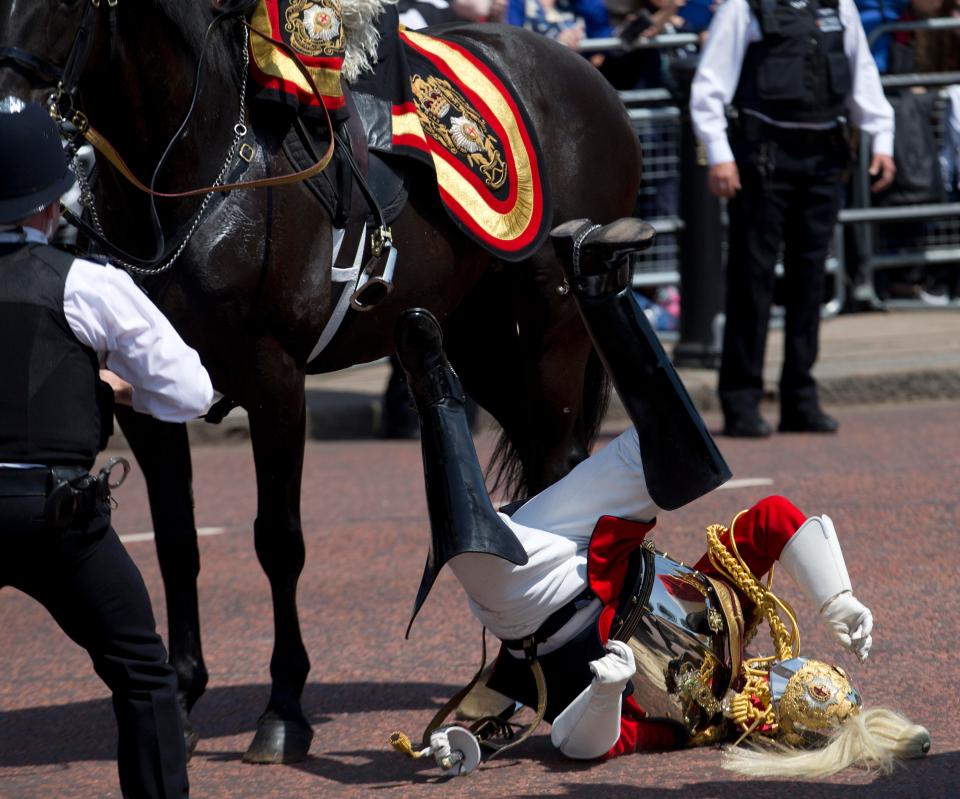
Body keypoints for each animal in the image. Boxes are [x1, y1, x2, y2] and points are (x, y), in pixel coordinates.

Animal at [1, 0, 644, 764]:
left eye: (67, 6)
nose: (9, 120)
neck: (192, 177)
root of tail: (594, 79)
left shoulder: (274, 381)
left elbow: (278, 542)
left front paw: (283, 711)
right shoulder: (145, 397)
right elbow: (176, 543)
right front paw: (181, 699)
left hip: (553, 323)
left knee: (554, 461)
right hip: (473, 332)